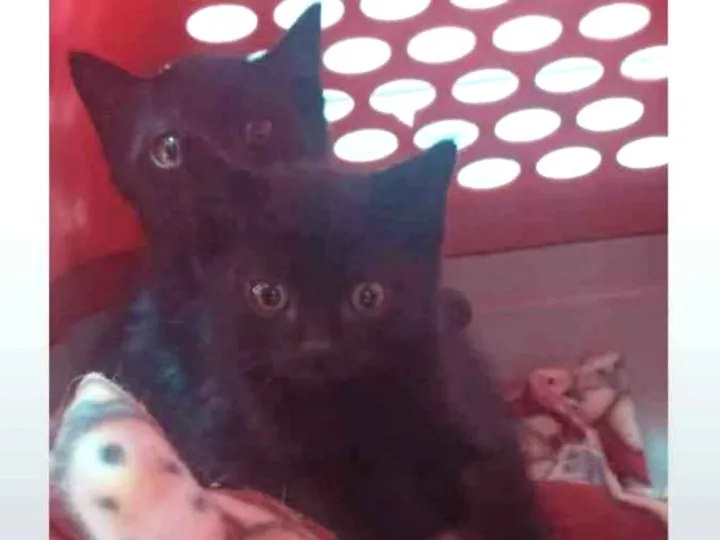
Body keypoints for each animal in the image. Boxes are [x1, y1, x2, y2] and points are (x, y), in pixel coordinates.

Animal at [111, 140, 543, 540]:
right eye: (268, 294)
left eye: (368, 296)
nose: (317, 345)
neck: (349, 406)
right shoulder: (275, 468)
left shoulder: (465, 409)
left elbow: (496, 484)